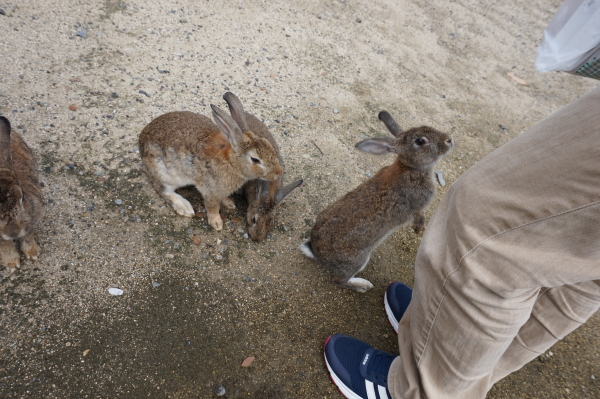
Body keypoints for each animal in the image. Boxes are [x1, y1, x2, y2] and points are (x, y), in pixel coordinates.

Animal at [0, 115, 42, 272]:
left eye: (23, 197)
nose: (14, 232)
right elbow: (4, 246)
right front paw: (12, 264)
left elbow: (28, 236)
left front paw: (33, 253)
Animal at [138, 94, 284, 230]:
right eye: (255, 159)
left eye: (267, 144)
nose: (278, 172)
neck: (231, 162)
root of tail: (140, 143)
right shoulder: (210, 191)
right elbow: (212, 207)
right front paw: (217, 223)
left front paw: (229, 203)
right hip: (165, 174)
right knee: (162, 190)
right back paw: (185, 207)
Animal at [302, 111, 452, 292]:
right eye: (420, 141)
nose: (449, 140)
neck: (411, 168)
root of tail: (316, 253)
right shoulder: (415, 208)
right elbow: (418, 217)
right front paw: (419, 230)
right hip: (357, 260)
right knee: (338, 280)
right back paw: (362, 286)